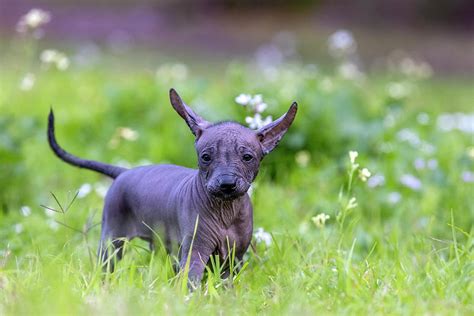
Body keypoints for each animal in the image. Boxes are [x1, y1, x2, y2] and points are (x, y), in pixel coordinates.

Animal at [47, 87, 296, 288]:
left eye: (247, 157)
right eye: (206, 157)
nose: (226, 183)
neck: (225, 211)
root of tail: (124, 172)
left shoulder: (234, 257)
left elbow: (226, 287)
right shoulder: (195, 249)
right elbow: (191, 279)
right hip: (112, 239)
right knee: (106, 267)